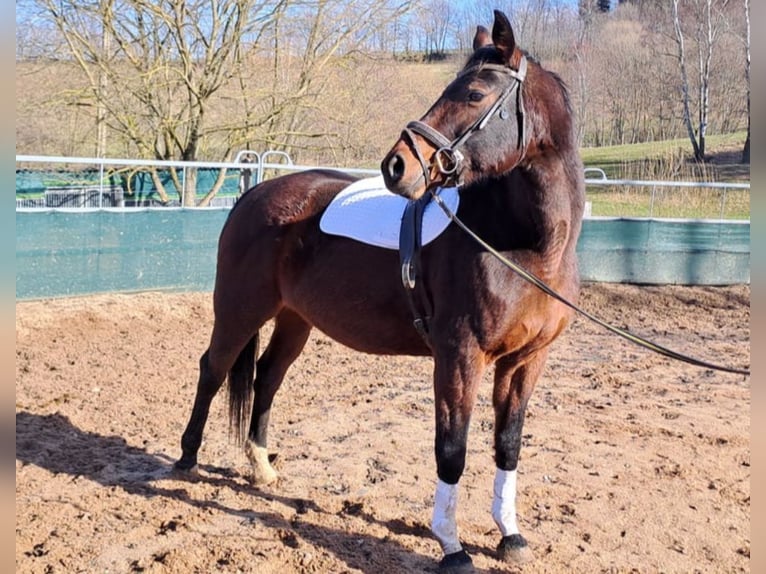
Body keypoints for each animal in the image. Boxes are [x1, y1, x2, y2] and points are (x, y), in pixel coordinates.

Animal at [177, 10, 584, 574]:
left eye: (475, 93)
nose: (397, 166)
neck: (524, 245)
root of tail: (255, 194)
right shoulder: (459, 357)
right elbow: (452, 448)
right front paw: (452, 546)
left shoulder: (526, 360)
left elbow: (508, 443)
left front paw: (511, 536)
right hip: (239, 310)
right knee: (213, 370)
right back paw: (186, 459)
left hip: (294, 319)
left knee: (266, 376)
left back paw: (262, 467)